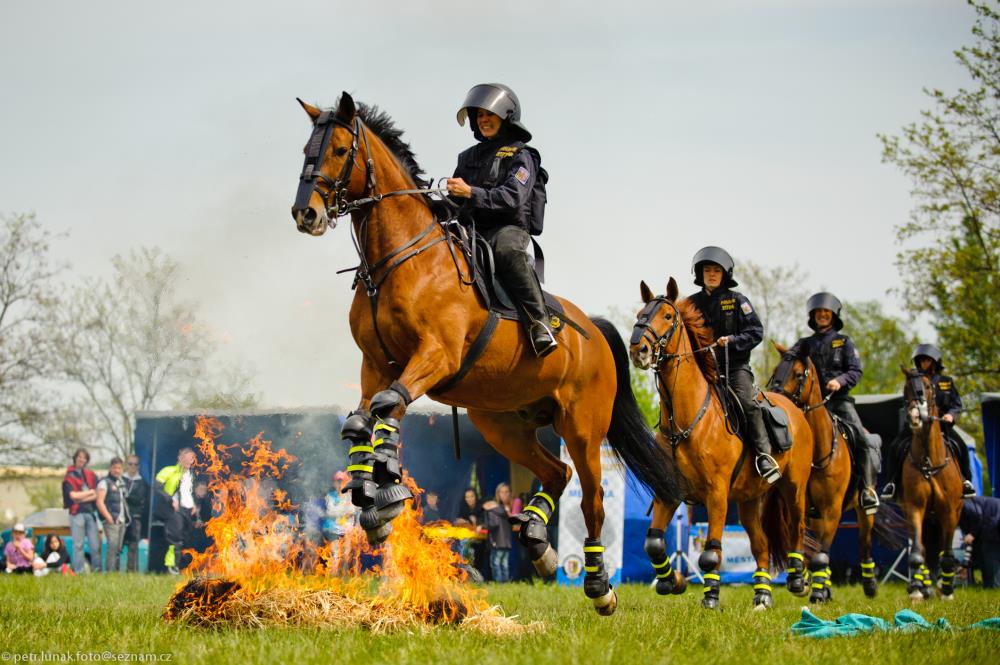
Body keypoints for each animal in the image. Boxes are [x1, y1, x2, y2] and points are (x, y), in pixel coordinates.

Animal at [290, 92, 680, 612]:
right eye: (306, 149)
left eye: (337, 150)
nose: (306, 214)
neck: (402, 260)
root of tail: (594, 333)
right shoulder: (376, 365)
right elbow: (361, 420)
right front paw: (367, 498)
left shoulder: (435, 357)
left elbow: (388, 406)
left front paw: (387, 488)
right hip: (502, 425)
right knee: (556, 473)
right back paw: (537, 542)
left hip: (581, 428)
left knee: (591, 499)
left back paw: (599, 586)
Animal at [632, 278, 812, 608]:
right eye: (640, 313)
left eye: (667, 316)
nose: (639, 348)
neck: (686, 422)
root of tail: (795, 409)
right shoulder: (668, 493)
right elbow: (653, 543)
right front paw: (672, 581)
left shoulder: (716, 495)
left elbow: (710, 552)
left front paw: (711, 598)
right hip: (750, 500)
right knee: (761, 546)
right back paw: (762, 596)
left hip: (794, 488)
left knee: (798, 529)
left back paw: (796, 580)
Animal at [768, 344, 880, 600]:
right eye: (776, 371)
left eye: (799, 374)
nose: (775, 398)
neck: (818, 451)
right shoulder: (804, 508)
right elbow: (807, 548)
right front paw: (807, 582)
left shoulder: (832, 510)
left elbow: (822, 553)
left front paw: (817, 593)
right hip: (817, 516)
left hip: (863, 511)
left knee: (865, 543)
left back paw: (869, 584)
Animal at [900, 366, 960, 600]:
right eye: (906, 389)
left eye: (927, 387)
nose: (915, 416)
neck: (928, 461)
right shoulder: (915, 508)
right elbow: (918, 551)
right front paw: (917, 590)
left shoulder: (949, 512)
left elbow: (948, 554)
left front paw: (947, 592)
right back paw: (923, 587)